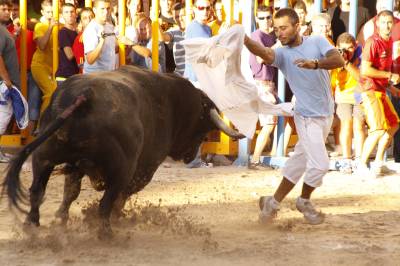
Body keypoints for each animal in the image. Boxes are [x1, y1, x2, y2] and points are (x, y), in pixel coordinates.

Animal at [1, 65, 244, 236]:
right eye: (203, 129)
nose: (190, 156)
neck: (171, 101)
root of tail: (85, 96)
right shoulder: (144, 169)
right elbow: (122, 196)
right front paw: (118, 217)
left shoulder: (76, 166)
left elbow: (70, 191)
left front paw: (61, 218)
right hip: (122, 168)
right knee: (106, 202)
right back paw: (107, 232)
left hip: (42, 157)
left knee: (37, 191)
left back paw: (31, 223)